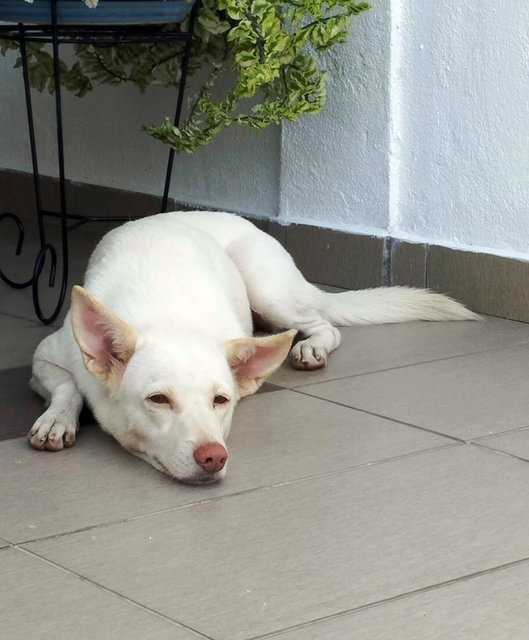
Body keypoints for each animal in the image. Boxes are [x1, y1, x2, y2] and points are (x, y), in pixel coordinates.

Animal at [27, 212, 474, 482]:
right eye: (158, 400)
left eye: (221, 400)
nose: (213, 456)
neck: (169, 317)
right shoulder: (46, 356)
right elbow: (68, 386)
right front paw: (56, 420)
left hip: (266, 286)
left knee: (325, 326)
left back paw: (311, 348)